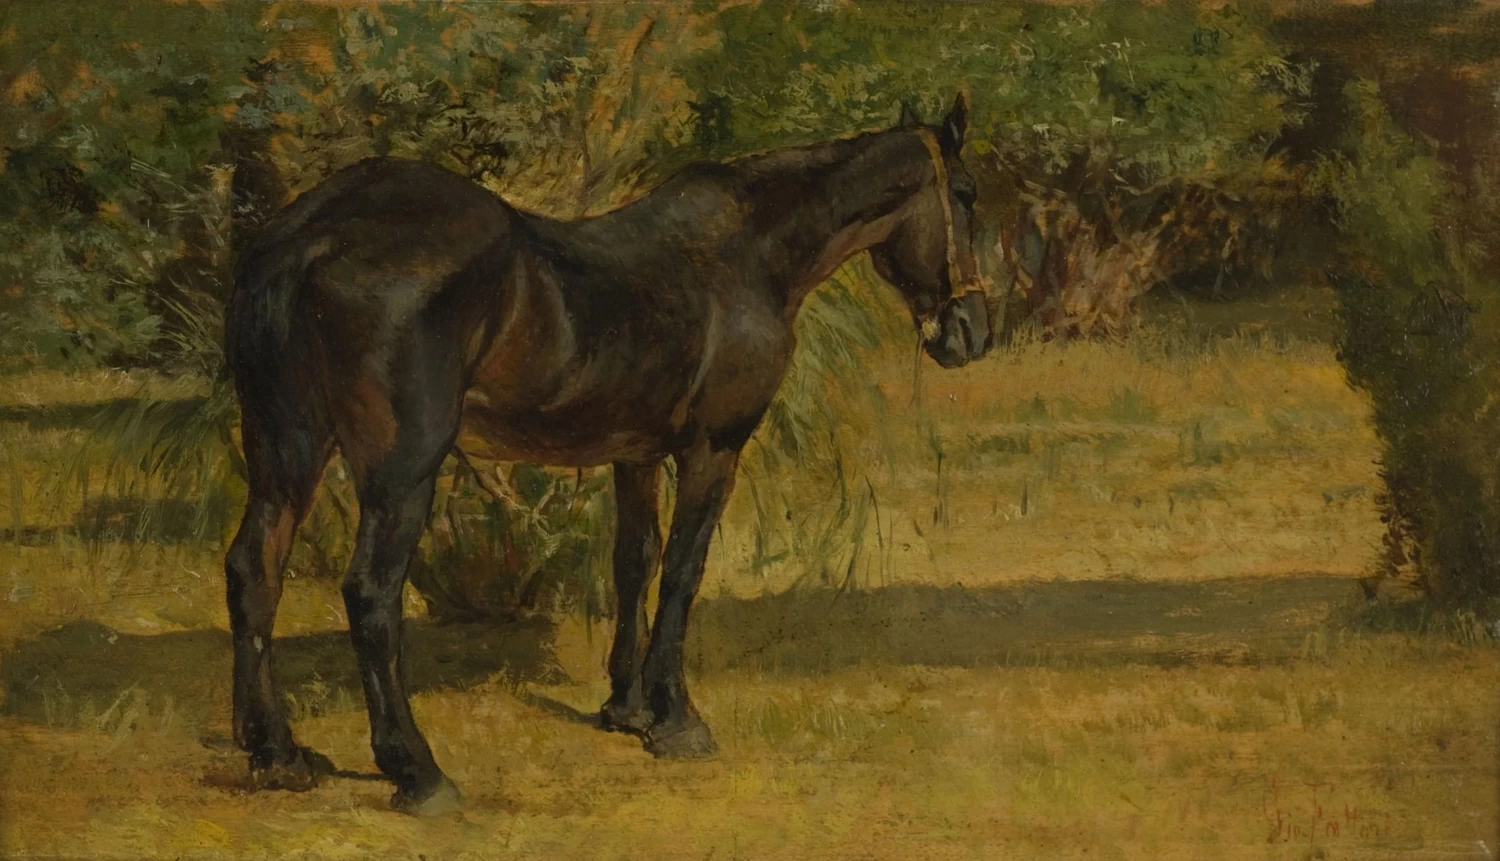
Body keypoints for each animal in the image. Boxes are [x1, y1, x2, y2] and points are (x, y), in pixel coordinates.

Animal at [222, 94, 991, 816]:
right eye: (966, 194)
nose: (972, 333)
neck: (741, 255)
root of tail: (309, 237)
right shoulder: (713, 450)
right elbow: (682, 572)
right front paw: (678, 721)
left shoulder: (636, 455)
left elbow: (634, 563)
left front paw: (626, 707)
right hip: (402, 470)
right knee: (372, 594)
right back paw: (418, 771)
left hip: (285, 452)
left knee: (254, 571)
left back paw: (276, 754)